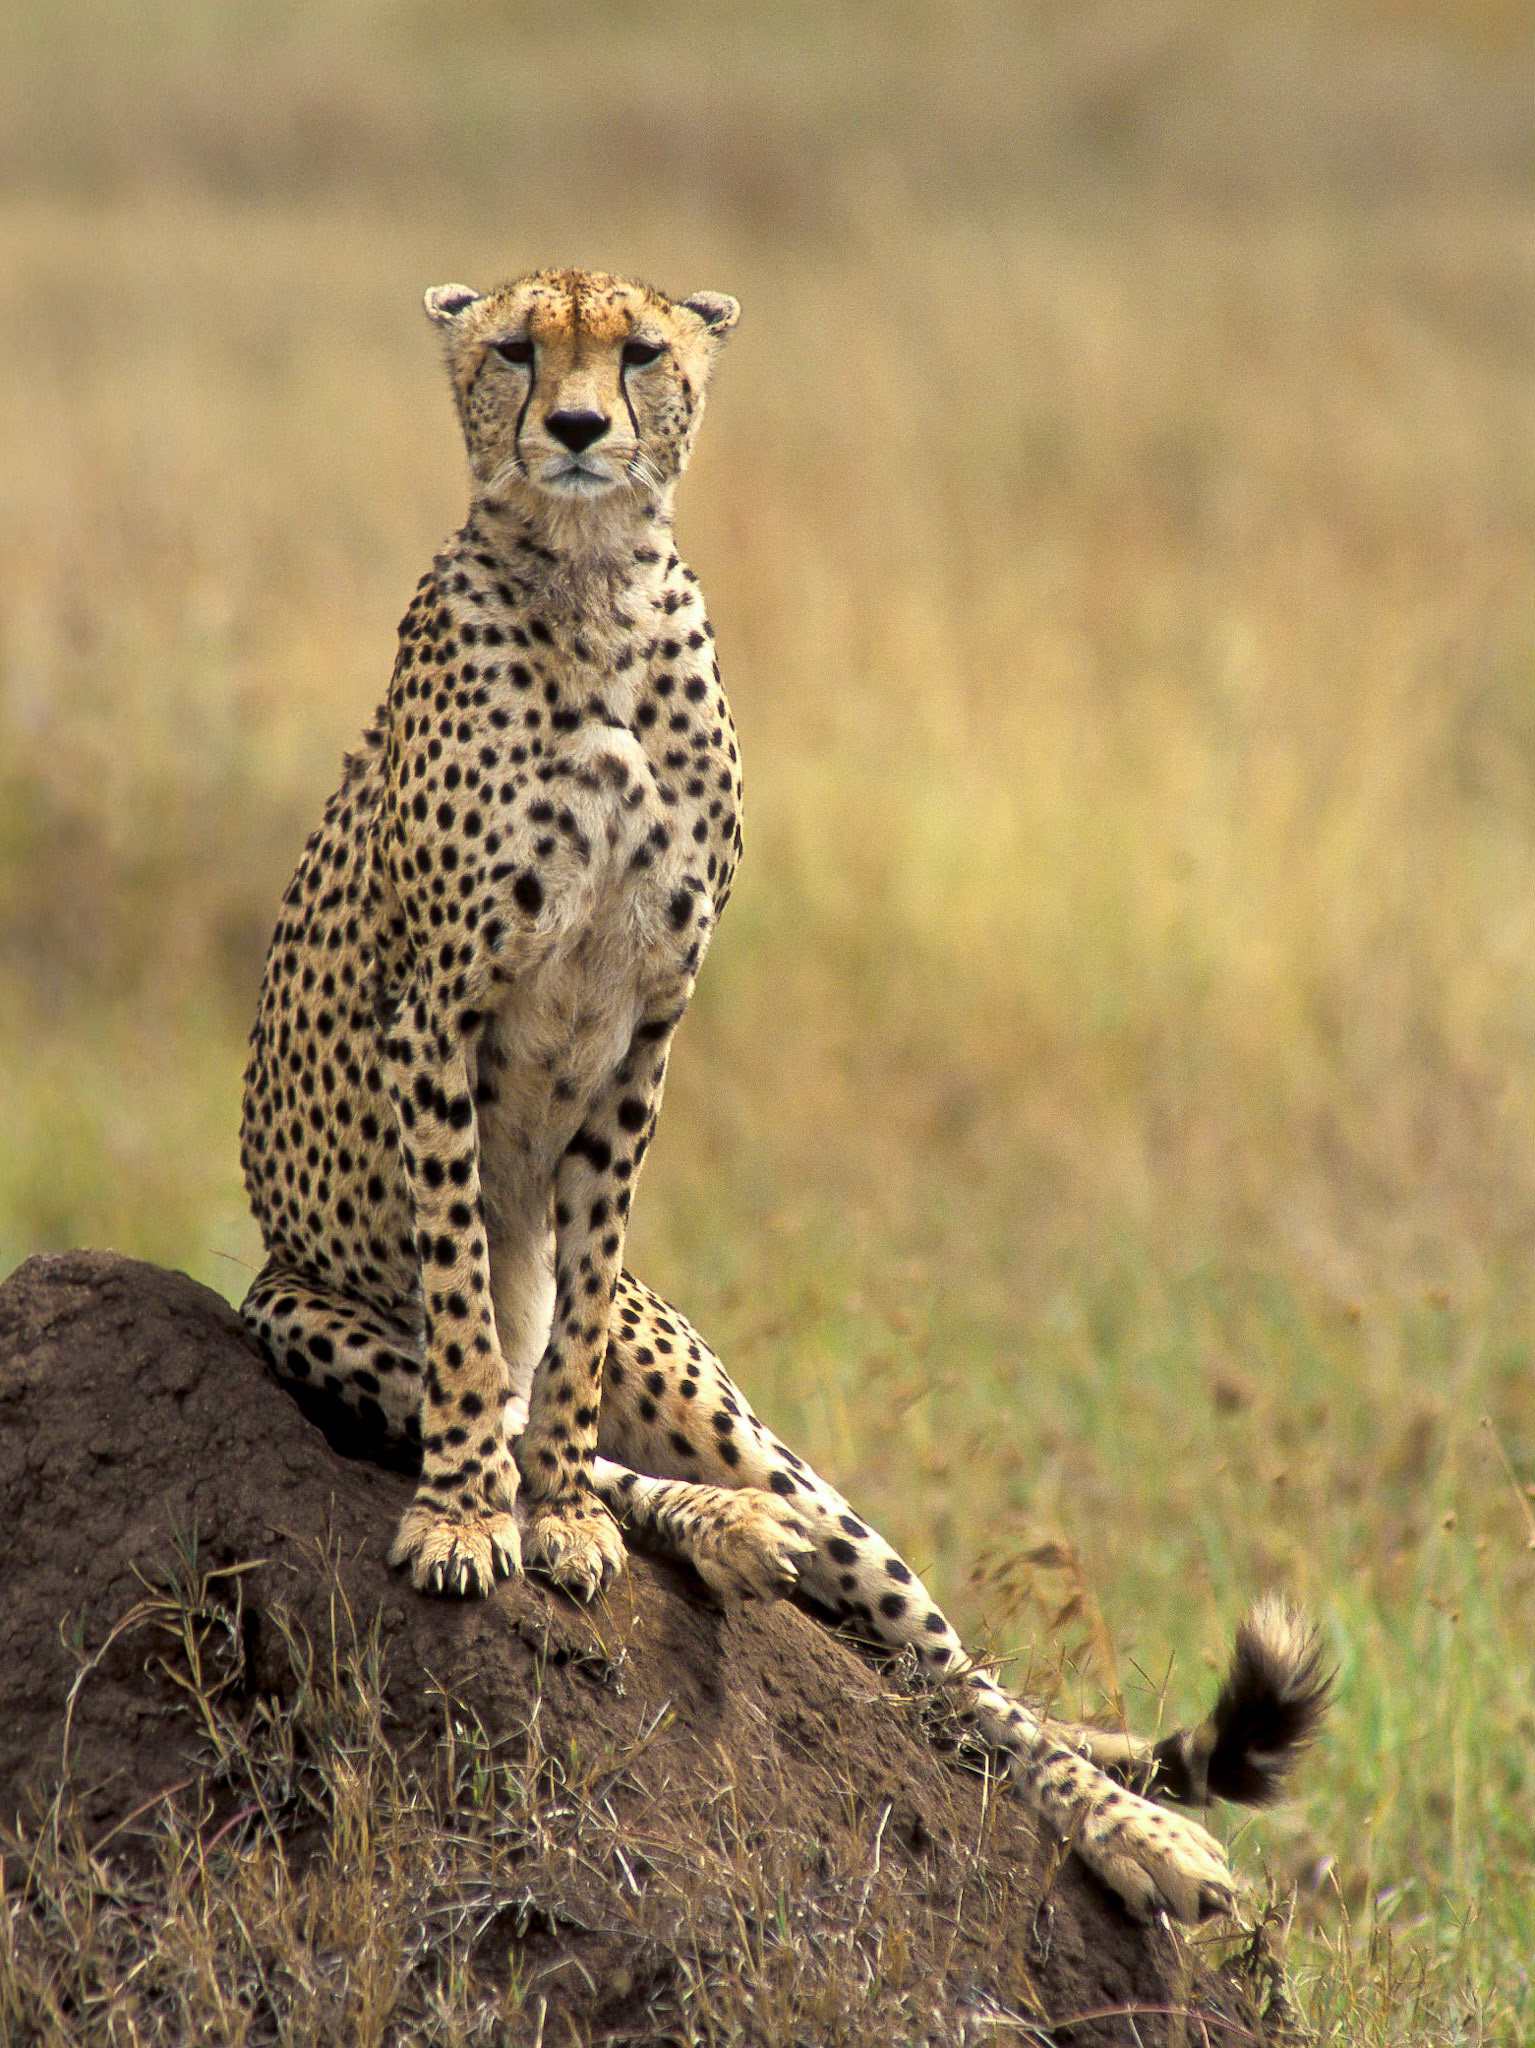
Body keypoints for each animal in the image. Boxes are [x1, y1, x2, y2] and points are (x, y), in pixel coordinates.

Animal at [239, 266, 1329, 1927]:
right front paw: (475, 1513)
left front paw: (547, 1512)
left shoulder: (647, 1026)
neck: (595, 595)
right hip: (291, 1308)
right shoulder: (436, 1007)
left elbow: (564, 1343)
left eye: (637, 352)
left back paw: (1123, 1828)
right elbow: (471, 1329)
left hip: (736, 1416)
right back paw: (710, 1528)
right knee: (507, 1393)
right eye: (515, 349)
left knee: (948, 1673)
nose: (576, 428)